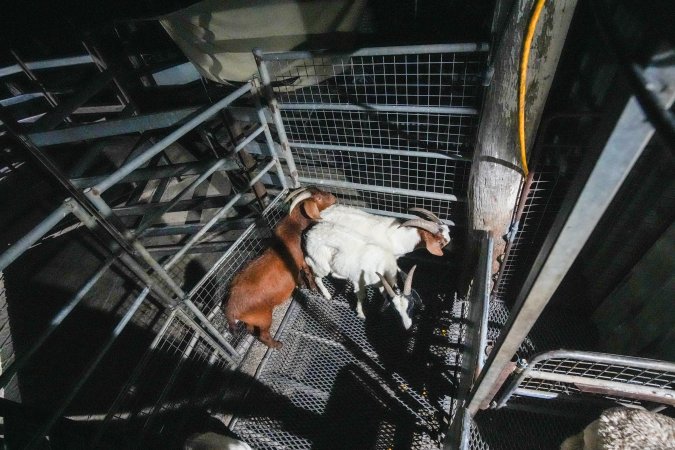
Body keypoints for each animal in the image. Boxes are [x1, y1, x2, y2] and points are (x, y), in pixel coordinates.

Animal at [223, 186, 336, 348]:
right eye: (318, 198)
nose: (333, 197)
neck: (294, 226)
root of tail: (231, 308)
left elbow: (298, 275)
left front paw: (300, 285)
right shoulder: (303, 259)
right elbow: (307, 273)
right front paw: (313, 288)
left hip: (250, 320)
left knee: (251, 330)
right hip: (263, 317)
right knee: (263, 335)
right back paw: (277, 345)